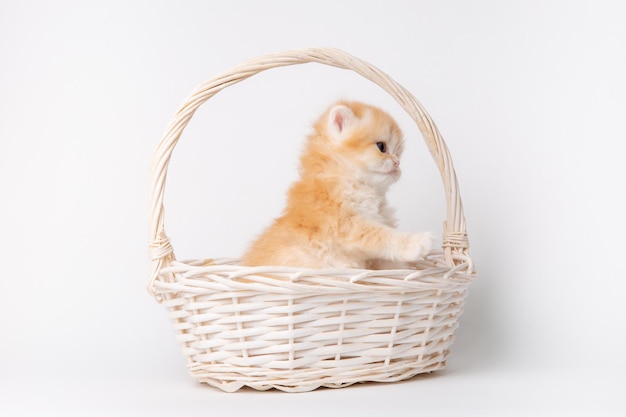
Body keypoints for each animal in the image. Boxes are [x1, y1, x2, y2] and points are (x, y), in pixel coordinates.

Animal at [241, 101, 432, 270]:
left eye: (399, 153)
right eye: (382, 147)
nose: (397, 163)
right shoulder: (344, 224)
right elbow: (380, 235)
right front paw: (416, 243)